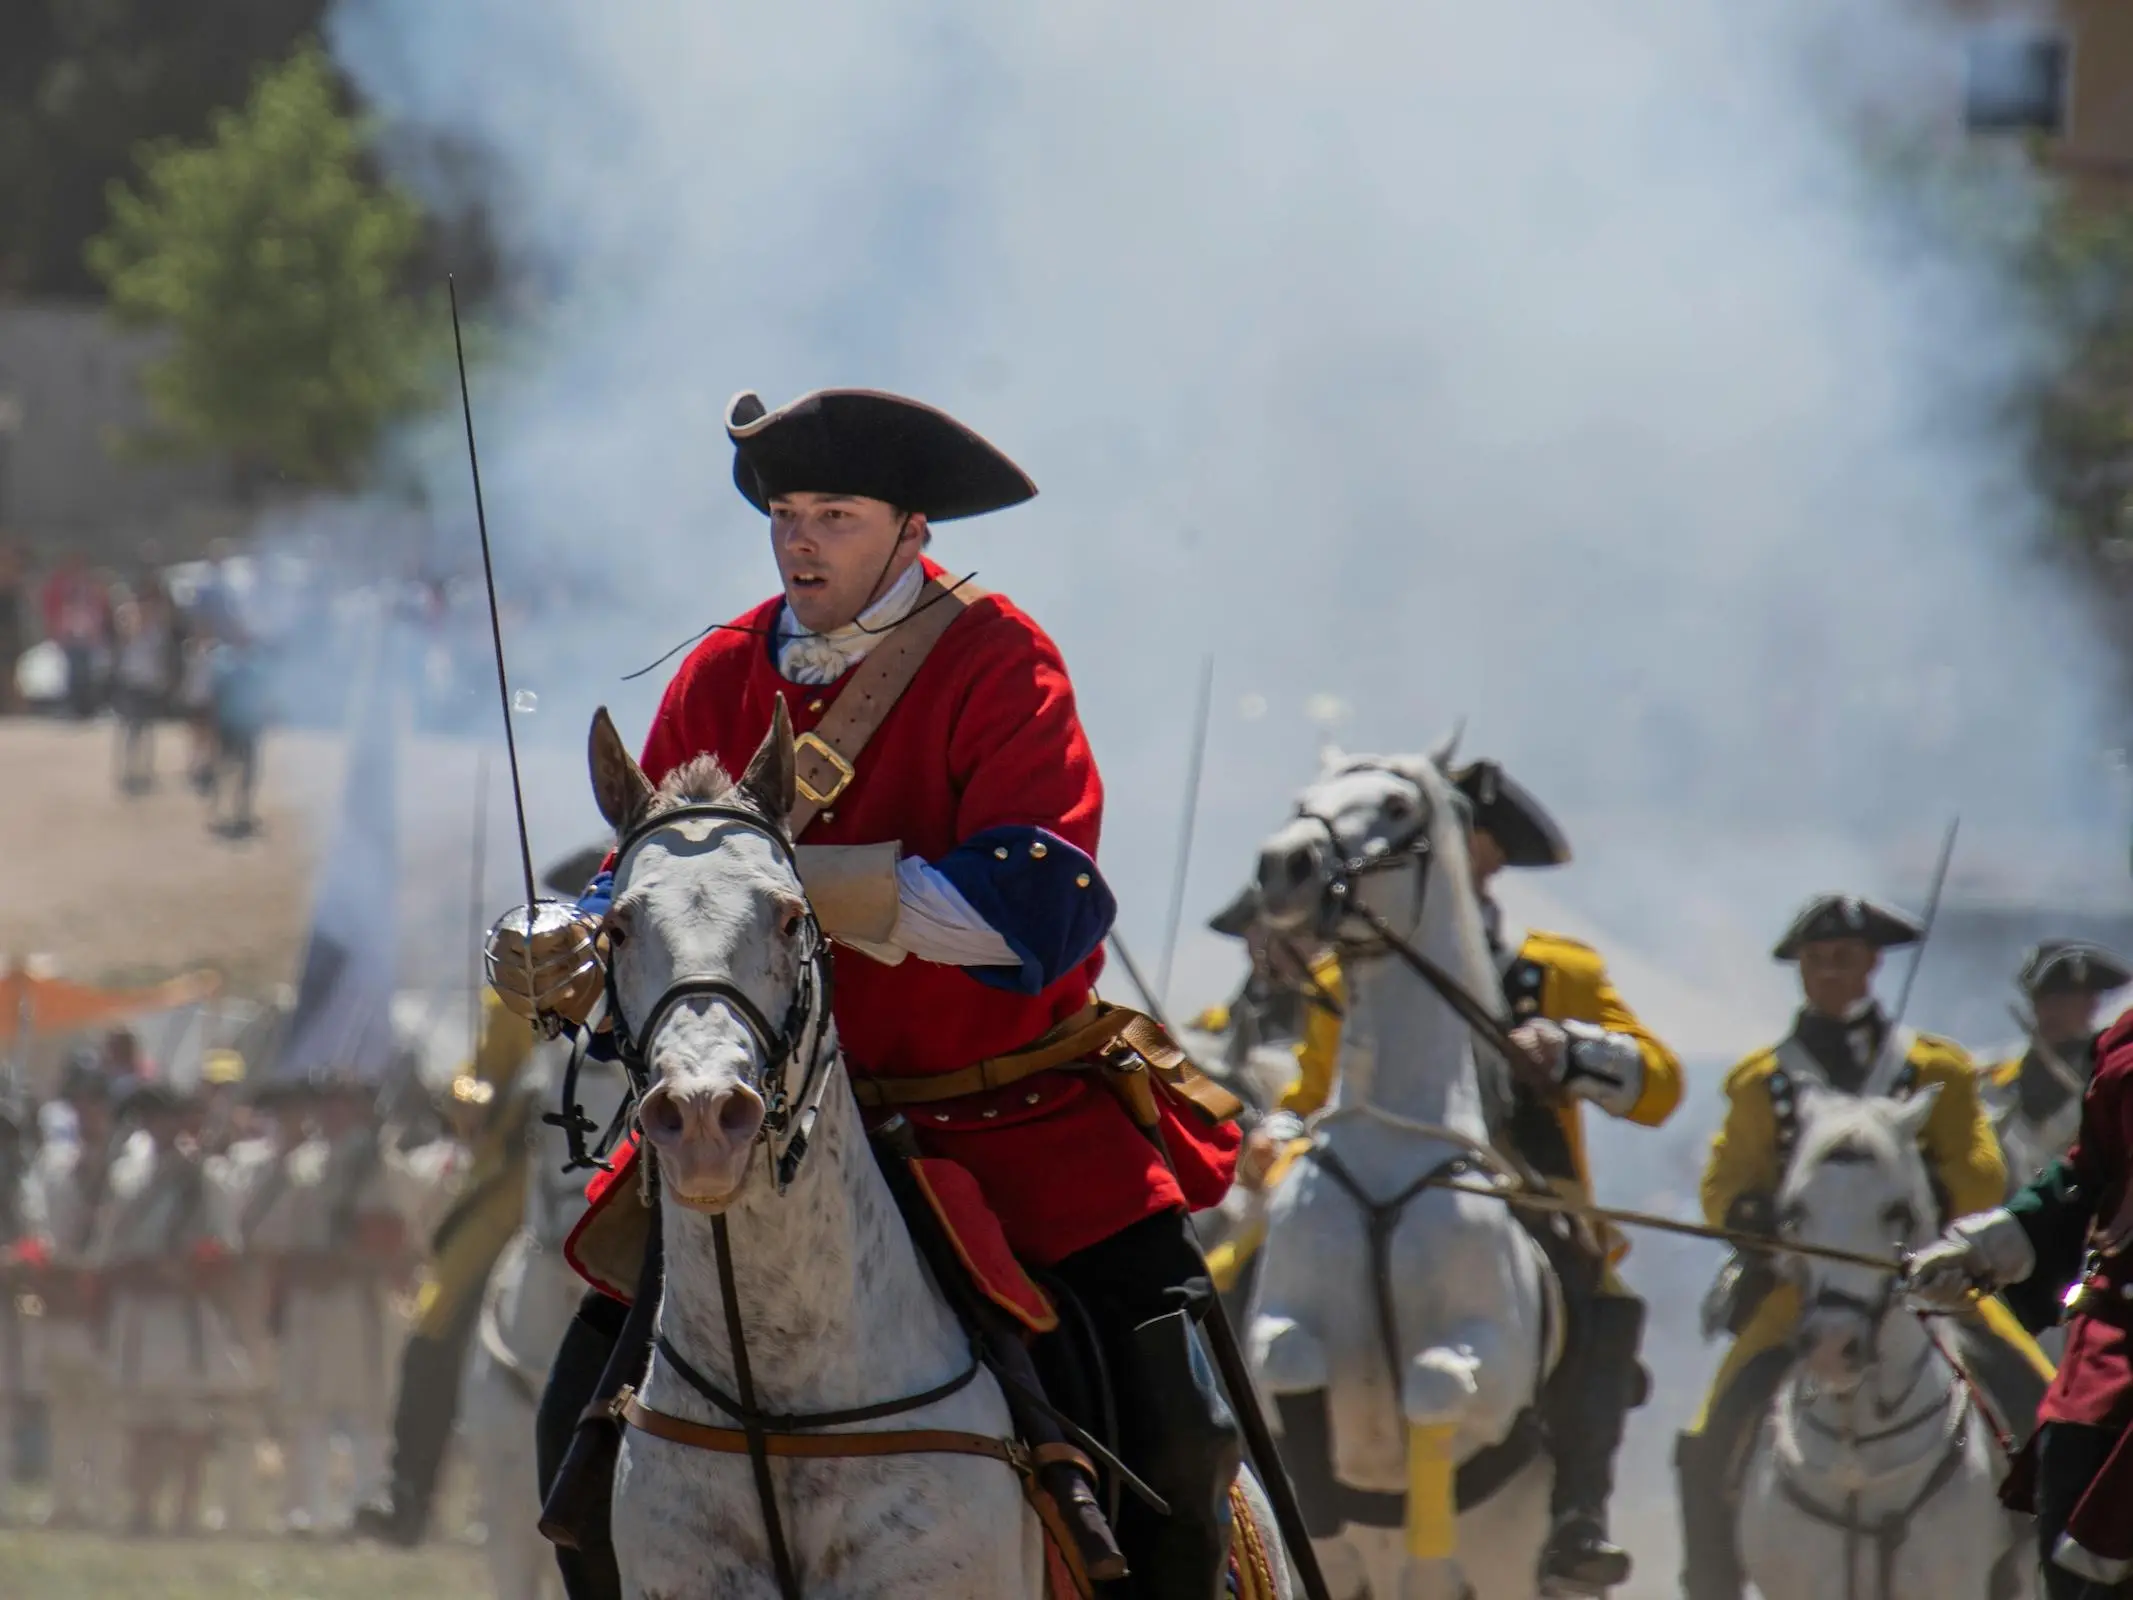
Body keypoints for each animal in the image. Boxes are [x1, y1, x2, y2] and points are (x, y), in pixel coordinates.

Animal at [1245, 755, 1561, 1600]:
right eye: (1304, 798)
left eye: (1394, 804)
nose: (1281, 864)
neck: (1387, 1149)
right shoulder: (1277, 1321)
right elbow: (1287, 1357)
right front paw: (1318, 1495)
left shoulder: (1489, 1355)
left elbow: (1434, 1383)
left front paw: (1424, 1515)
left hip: (1508, 1561)